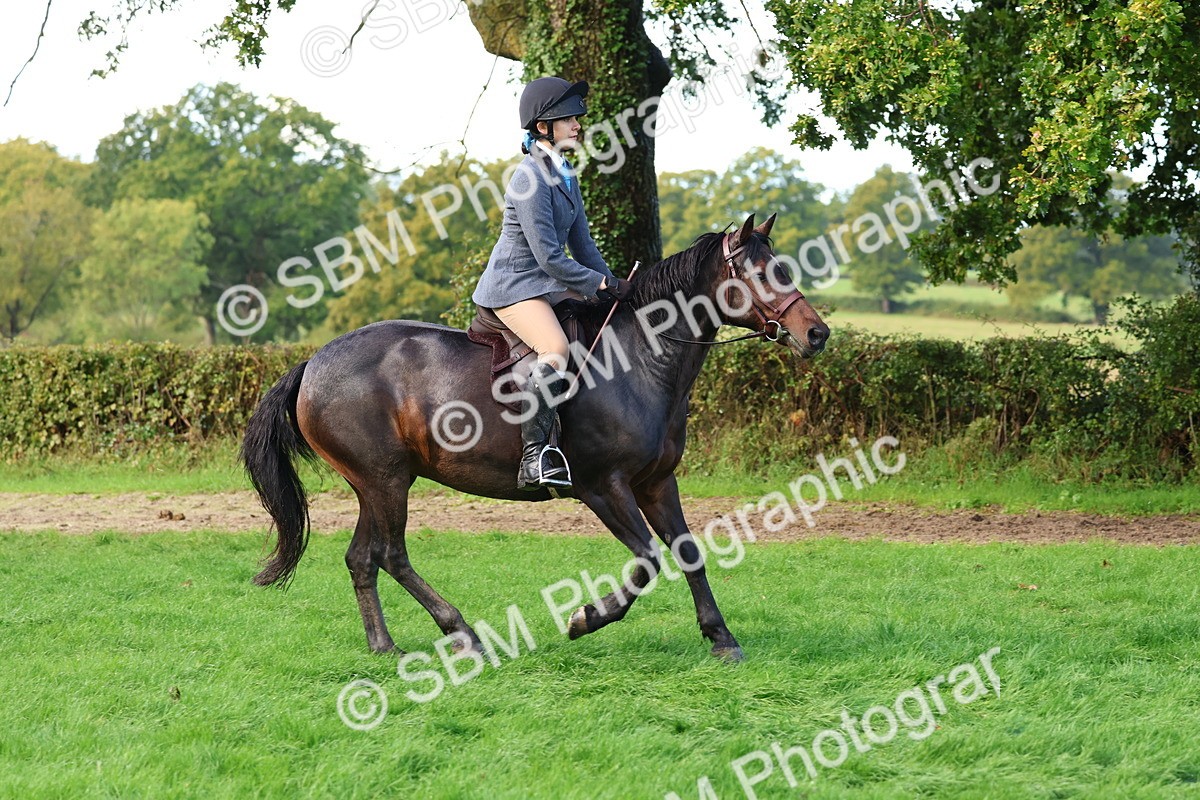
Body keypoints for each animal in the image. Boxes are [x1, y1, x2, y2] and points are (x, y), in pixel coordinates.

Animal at [241, 213, 829, 661]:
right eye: (760, 273)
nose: (817, 333)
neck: (640, 357)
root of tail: (314, 362)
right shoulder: (602, 486)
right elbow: (646, 561)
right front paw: (586, 618)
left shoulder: (657, 482)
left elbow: (687, 553)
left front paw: (721, 638)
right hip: (384, 481)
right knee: (391, 555)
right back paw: (463, 634)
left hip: (376, 483)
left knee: (363, 558)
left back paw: (385, 647)